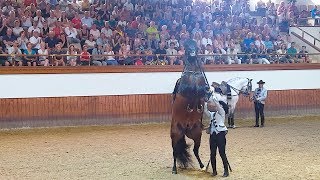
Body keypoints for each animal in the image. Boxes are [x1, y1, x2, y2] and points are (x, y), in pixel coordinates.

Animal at [170, 39, 210, 174]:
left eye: (195, 45)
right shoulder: (185, 90)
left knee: (195, 150)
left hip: (197, 135)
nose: (192, 52)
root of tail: (185, 129)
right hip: (175, 135)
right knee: (175, 151)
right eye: (187, 45)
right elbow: (193, 91)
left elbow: (202, 93)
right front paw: (192, 105)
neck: (193, 73)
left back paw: (203, 166)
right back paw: (174, 169)